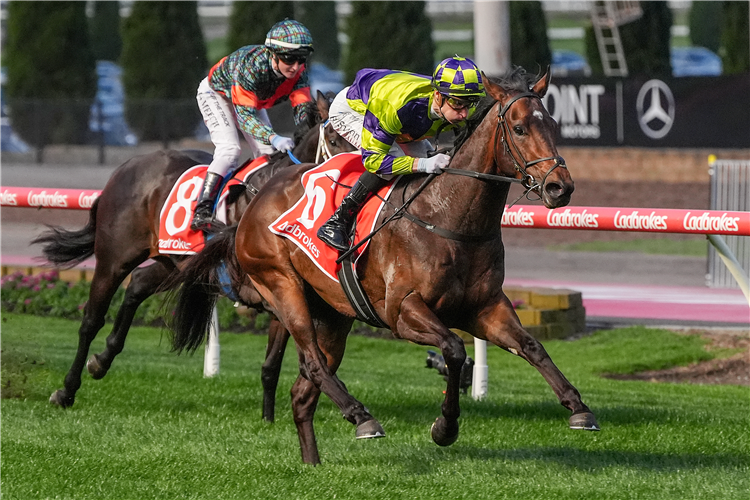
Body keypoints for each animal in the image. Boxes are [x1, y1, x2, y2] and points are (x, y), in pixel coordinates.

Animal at [32, 90, 356, 418]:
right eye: (333, 138)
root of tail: (128, 166)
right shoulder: (273, 291)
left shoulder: (287, 295)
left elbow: (273, 365)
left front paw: (269, 419)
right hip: (114, 258)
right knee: (91, 320)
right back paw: (66, 390)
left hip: (175, 262)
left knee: (137, 285)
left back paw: (102, 359)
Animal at [170, 67, 600, 464]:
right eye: (520, 128)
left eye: (553, 125)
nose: (560, 187)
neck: (449, 218)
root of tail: (254, 203)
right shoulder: (402, 312)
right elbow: (454, 349)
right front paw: (444, 427)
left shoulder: (485, 307)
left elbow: (531, 346)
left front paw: (578, 408)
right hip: (282, 288)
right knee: (313, 362)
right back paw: (361, 416)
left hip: (333, 315)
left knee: (303, 392)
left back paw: (313, 463)